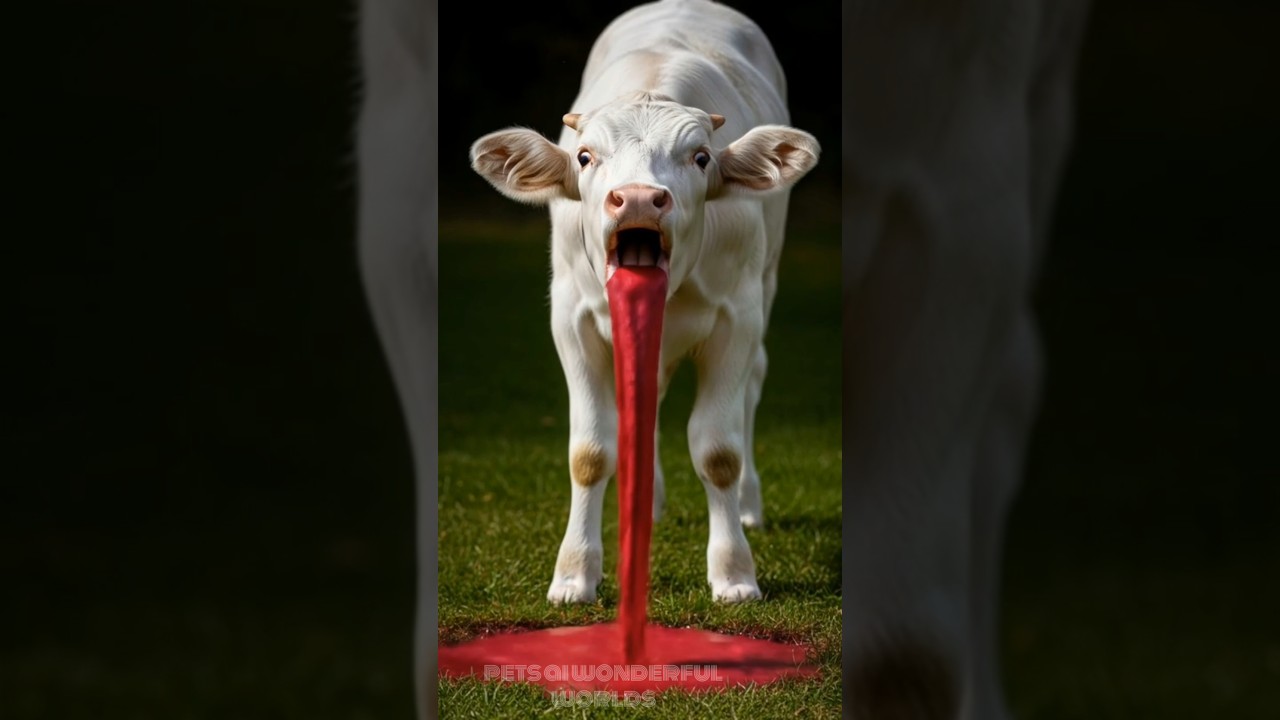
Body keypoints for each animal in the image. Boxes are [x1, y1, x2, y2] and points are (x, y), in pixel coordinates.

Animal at [467, 0, 821, 607]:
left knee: (751, 386)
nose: (637, 198)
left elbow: (718, 451)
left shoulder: (738, 317)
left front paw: (734, 573)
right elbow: (589, 452)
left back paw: (748, 505)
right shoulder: (571, 319)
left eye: (700, 157)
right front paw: (574, 574)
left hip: (767, 281)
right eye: (585, 157)